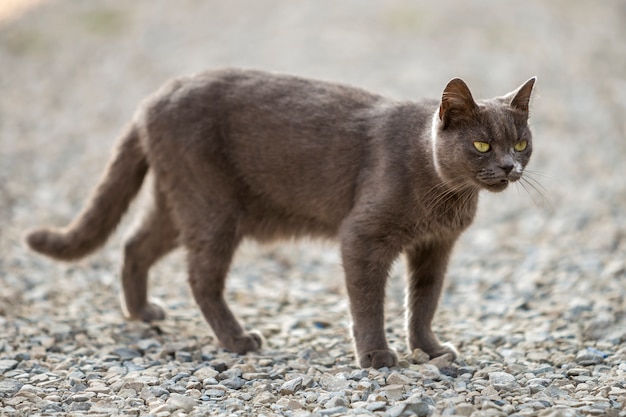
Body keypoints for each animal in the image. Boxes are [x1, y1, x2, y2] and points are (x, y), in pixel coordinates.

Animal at [26, 69, 532, 368]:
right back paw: (236, 340)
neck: (446, 195)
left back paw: (141, 312)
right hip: (213, 208)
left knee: (134, 243)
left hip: (180, 203)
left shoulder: (434, 247)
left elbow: (424, 302)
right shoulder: (363, 236)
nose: (511, 166)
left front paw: (429, 350)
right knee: (200, 278)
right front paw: (376, 355)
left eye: (521, 142)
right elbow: (369, 302)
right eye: (482, 145)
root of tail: (154, 97)